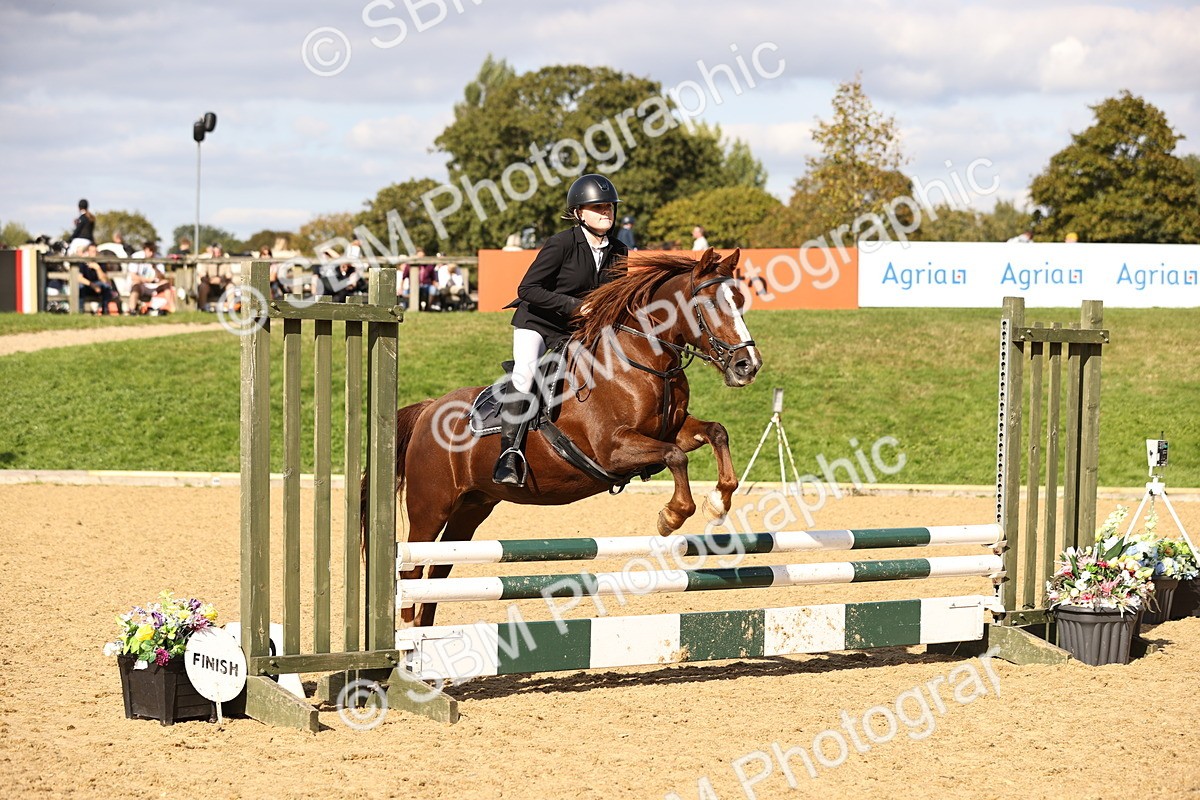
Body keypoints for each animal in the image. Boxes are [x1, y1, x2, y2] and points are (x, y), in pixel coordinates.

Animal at [385, 247, 763, 626]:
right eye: (710, 303)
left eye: (740, 300)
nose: (748, 366)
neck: (642, 361)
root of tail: (429, 409)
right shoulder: (613, 449)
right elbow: (675, 456)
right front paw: (671, 516)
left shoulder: (675, 429)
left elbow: (716, 432)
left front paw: (718, 501)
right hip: (429, 508)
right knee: (411, 571)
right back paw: (408, 631)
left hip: (472, 507)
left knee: (438, 570)